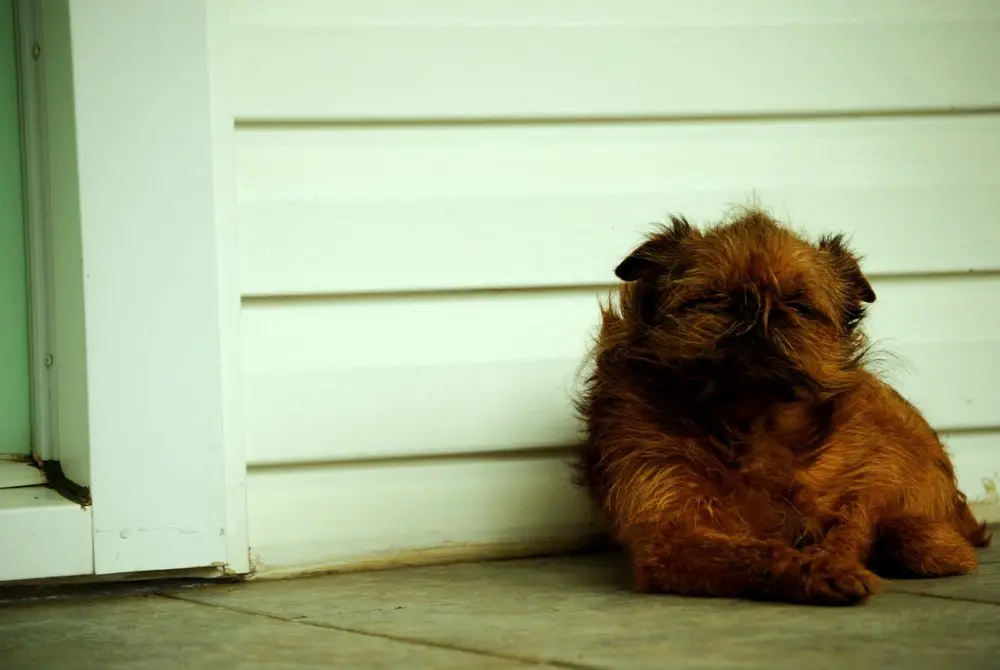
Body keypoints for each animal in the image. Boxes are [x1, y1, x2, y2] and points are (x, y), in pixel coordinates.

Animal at [580, 210, 992, 608]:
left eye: (799, 306)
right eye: (710, 298)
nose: (753, 306)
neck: (751, 425)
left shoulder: (865, 488)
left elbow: (850, 528)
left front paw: (830, 559)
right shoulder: (669, 539)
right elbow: (749, 554)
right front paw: (814, 571)